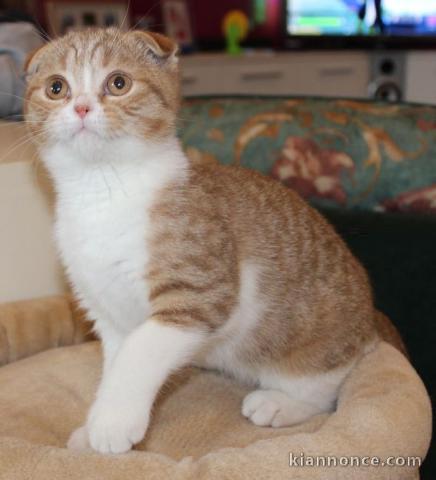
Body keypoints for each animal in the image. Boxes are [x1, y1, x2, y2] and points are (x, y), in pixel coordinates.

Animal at [23, 28, 398, 456]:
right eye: (56, 87)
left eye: (118, 83)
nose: (82, 107)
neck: (102, 192)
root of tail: (370, 321)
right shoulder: (108, 312)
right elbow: (116, 362)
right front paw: (95, 425)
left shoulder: (198, 293)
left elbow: (139, 352)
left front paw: (112, 422)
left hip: (308, 345)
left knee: (323, 391)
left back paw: (281, 404)